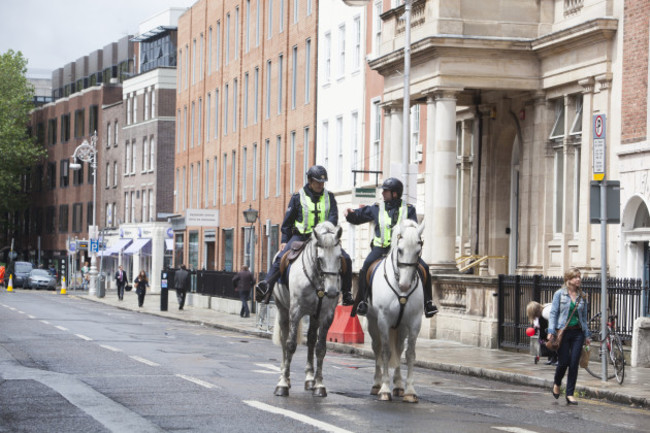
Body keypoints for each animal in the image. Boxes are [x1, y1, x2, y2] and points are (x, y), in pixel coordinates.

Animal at [270, 221, 342, 396]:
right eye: (320, 258)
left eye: (339, 257)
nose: (331, 292)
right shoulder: (295, 312)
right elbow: (290, 345)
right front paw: (282, 384)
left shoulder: (326, 315)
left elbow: (320, 348)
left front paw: (319, 385)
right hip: (283, 310)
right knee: (284, 340)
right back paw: (285, 376)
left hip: (314, 316)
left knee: (310, 340)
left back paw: (310, 379)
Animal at [368, 219, 422, 402]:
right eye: (400, 250)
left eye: (418, 251)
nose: (405, 285)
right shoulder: (383, 320)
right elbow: (385, 352)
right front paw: (384, 389)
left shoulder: (414, 321)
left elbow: (410, 354)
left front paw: (410, 391)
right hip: (372, 323)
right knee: (377, 348)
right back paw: (377, 384)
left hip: (401, 326)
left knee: (398, 349)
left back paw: (398, 385)